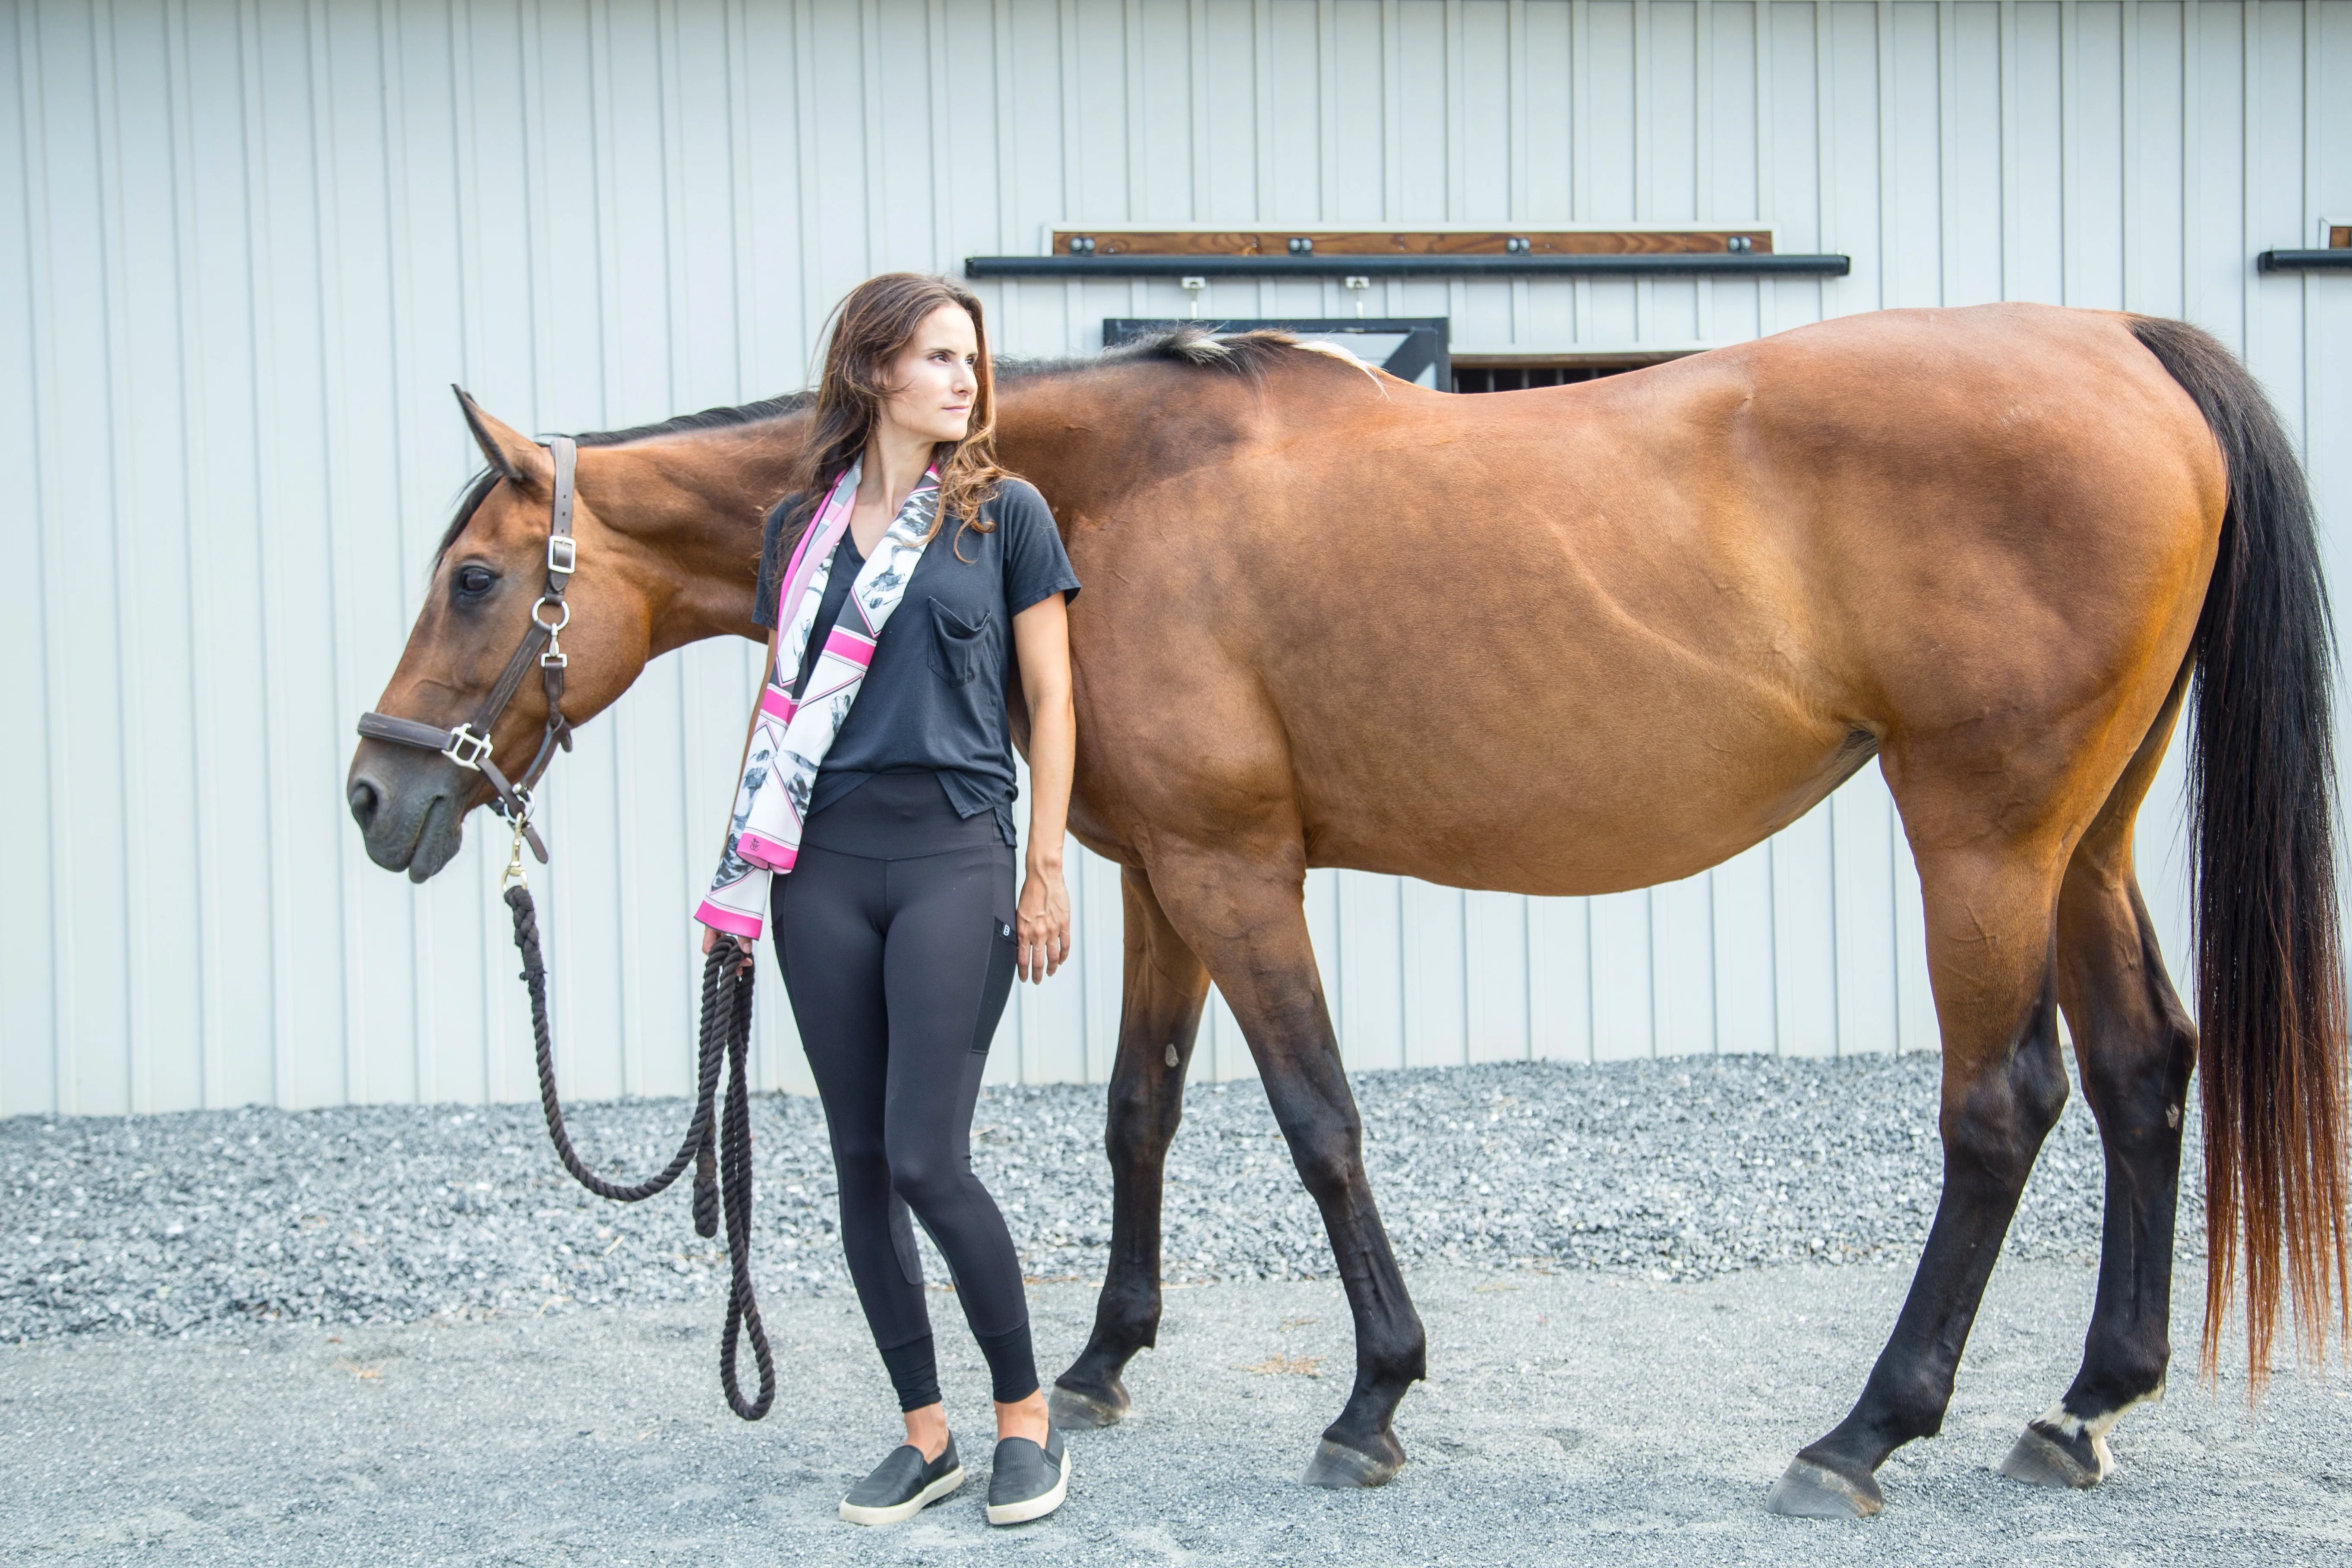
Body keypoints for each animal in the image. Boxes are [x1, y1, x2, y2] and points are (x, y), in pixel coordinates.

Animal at [353, 301, 2352, 1514]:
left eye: (475, 579)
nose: (378, 798)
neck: (1106, 497)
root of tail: (2125, 348)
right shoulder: (1164, 875)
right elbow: (1140, 1113)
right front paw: (1099, 1364)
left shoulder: (1241, 873)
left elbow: (1319, 1124)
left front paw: (1373, 1397)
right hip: (2080, 840)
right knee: (2145, 1069)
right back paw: (2079, 1405)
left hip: (1984, 838)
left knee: (2002, 1106)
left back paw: (1864, 1430)